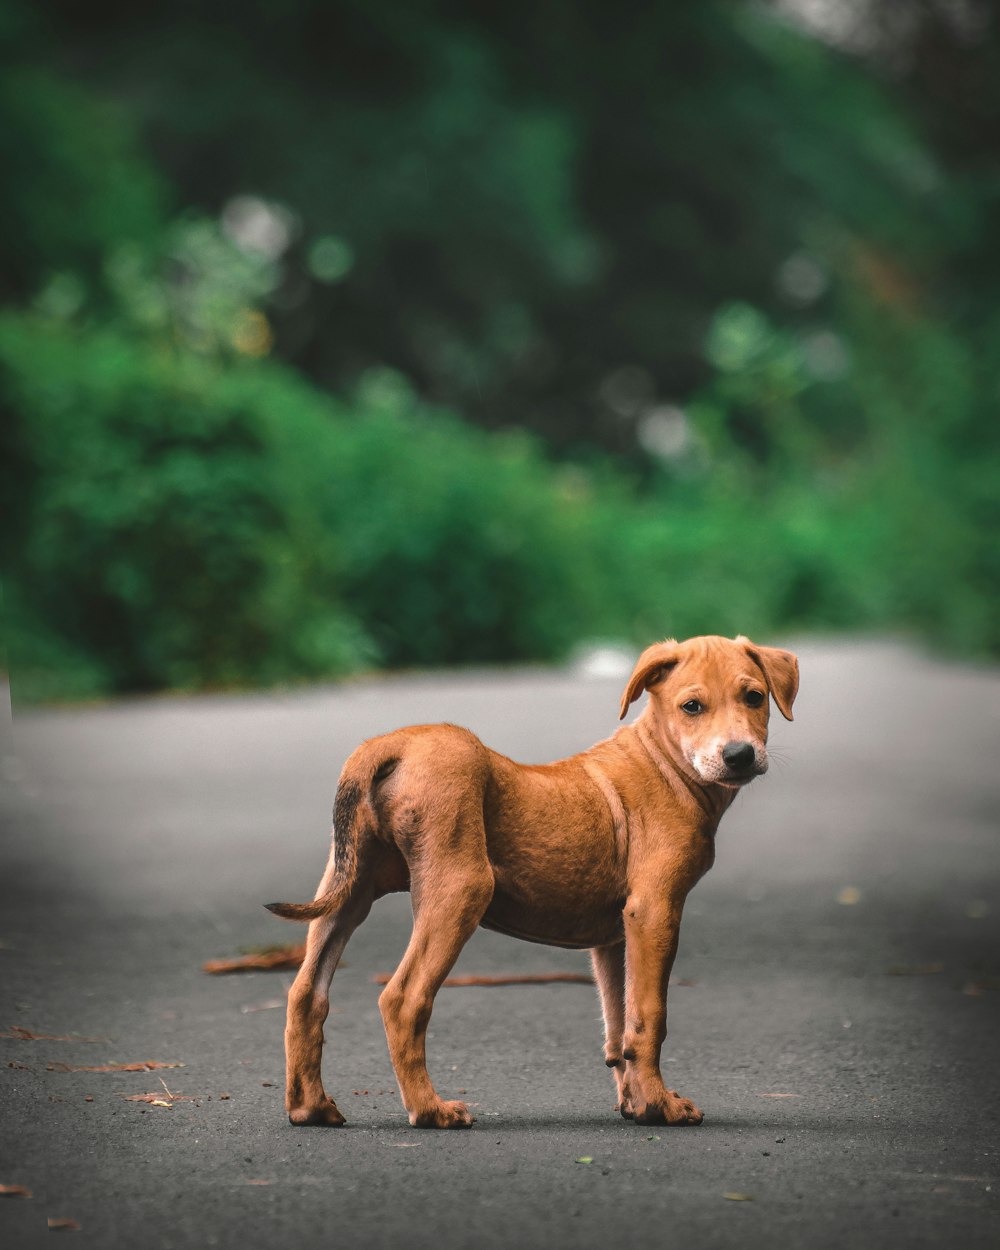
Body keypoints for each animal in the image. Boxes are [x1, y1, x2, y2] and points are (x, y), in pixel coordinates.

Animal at [265, 635, 795, 1135]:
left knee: (306, 994)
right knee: (403, 999)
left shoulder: (614, 937)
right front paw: (661, 1106)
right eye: (691, 707)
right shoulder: (655, 911)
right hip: (460, 888)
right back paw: (431, 1110)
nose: (740, 756)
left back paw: (310, 1108)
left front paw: (635, 1102)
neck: (666, 763)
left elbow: (618, 1023)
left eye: (754, 697)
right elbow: (649, 1018)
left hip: (345, 891)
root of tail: (388, 745)